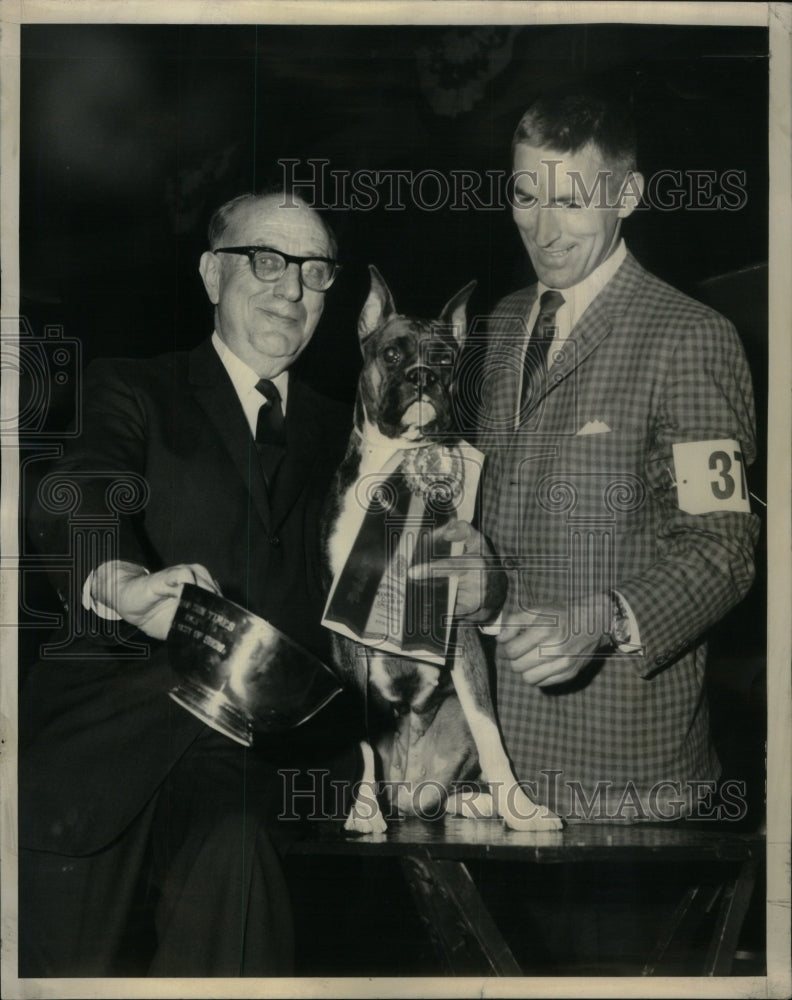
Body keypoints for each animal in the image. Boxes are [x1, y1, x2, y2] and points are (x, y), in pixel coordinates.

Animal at [322, 266, 564, 836]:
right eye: (392, 354)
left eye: (446, 359)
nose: (421, 378)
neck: (398, 463)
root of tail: (410, 786)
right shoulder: (346, 636)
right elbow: (362, 739)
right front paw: (364, 810)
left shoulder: (463, 630)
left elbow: (492, 733)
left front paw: (520, 808)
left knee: (445, 789)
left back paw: (477, 804)